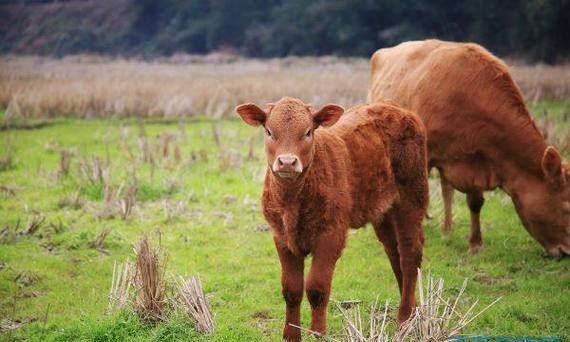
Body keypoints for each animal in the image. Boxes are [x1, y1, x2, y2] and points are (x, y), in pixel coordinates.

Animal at [234, 97, 426, 340]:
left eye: (308, 132)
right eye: (269, 131)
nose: (286, 162)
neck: (292, 201)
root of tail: (397, 109)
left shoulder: (331, 234)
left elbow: (316, 287)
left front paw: (318, 333)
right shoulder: (281, 236)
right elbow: (291, 289)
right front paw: (291, 335)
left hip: (412, 196)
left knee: (410, 254)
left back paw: (405, 318)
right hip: (382, 210)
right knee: (394, 253)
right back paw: (413, 309)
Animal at [368, 38, 568, 255]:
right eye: (567, 206)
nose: (566, 251)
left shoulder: (476, 159)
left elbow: (474, 202)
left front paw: (475, 243)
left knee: (446, 189)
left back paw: (447, 229)